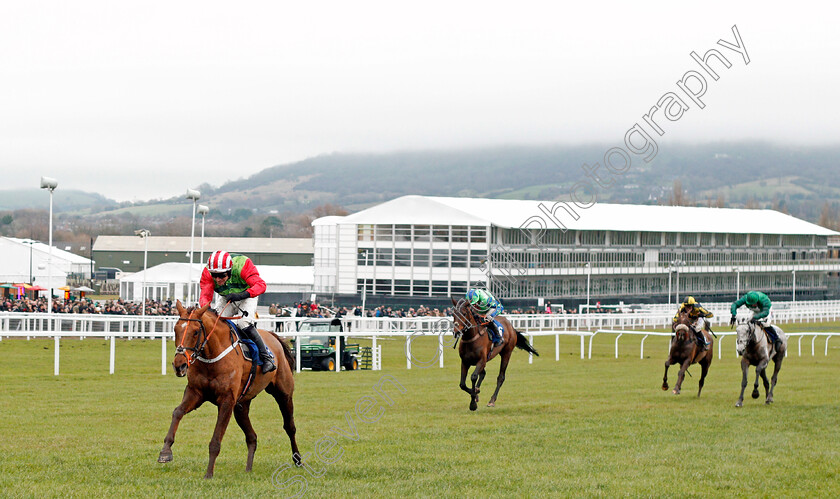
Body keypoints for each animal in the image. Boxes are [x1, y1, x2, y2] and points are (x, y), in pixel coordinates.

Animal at [159, 300, 300, 480]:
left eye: (196, 332)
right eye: (176, 329)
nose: (179, 365)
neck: (211, 358)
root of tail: (272, 336)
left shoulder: (226, 401)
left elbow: (215, 440)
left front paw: (209, 473)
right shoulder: (195, 392)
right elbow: (177, 412)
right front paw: (165, 452)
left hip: (284, 394)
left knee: (289, 426)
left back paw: (298, 459)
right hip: (241, 405)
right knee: (252, 437)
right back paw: (248, 469)